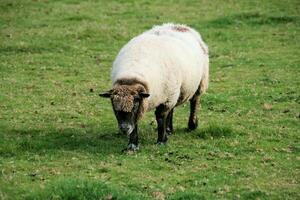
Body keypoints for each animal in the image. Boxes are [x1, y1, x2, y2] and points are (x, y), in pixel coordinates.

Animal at [101, 23, 209, 151]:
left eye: (136, 102)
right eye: (113, 106)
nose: (124, 129)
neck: (133, 74)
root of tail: (179, 26)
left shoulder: (160, 99)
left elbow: (160, 117)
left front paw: (161, 141)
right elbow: (136, 122)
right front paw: (133, 145)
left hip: (197, 83)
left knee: (194, 101)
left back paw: (191, 125)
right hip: (173, 91)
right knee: (172, 109)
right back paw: (169, 129)